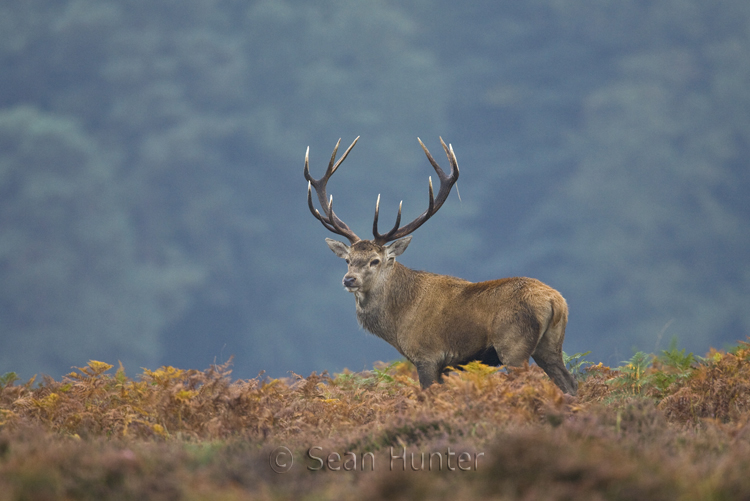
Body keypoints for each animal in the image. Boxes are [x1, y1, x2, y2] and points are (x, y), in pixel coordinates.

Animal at [306, 137, 580, 394]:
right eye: (348, 260)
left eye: (375, 260)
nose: (349, 279)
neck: (397, 322)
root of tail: (556, 301)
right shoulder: (448, 366)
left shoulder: (427, 356)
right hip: (550, 344)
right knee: (569, 383)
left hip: (513, 345)